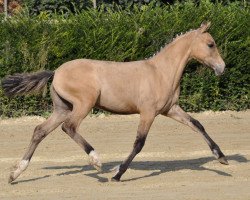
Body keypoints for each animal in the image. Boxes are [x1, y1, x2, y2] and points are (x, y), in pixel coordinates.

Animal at [1, 21, 229, 183]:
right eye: (211, 44)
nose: (222, 68)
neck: (161, 72)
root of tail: (56, 72)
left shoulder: (170, 109)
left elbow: (197, 124)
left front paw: (221, 157)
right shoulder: (148, 113)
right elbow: (139, 143)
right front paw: (117, 174)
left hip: (62, 108)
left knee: (40, 131)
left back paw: (15, 174)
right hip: (83, 105)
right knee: (69, 127)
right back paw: (96, 161)